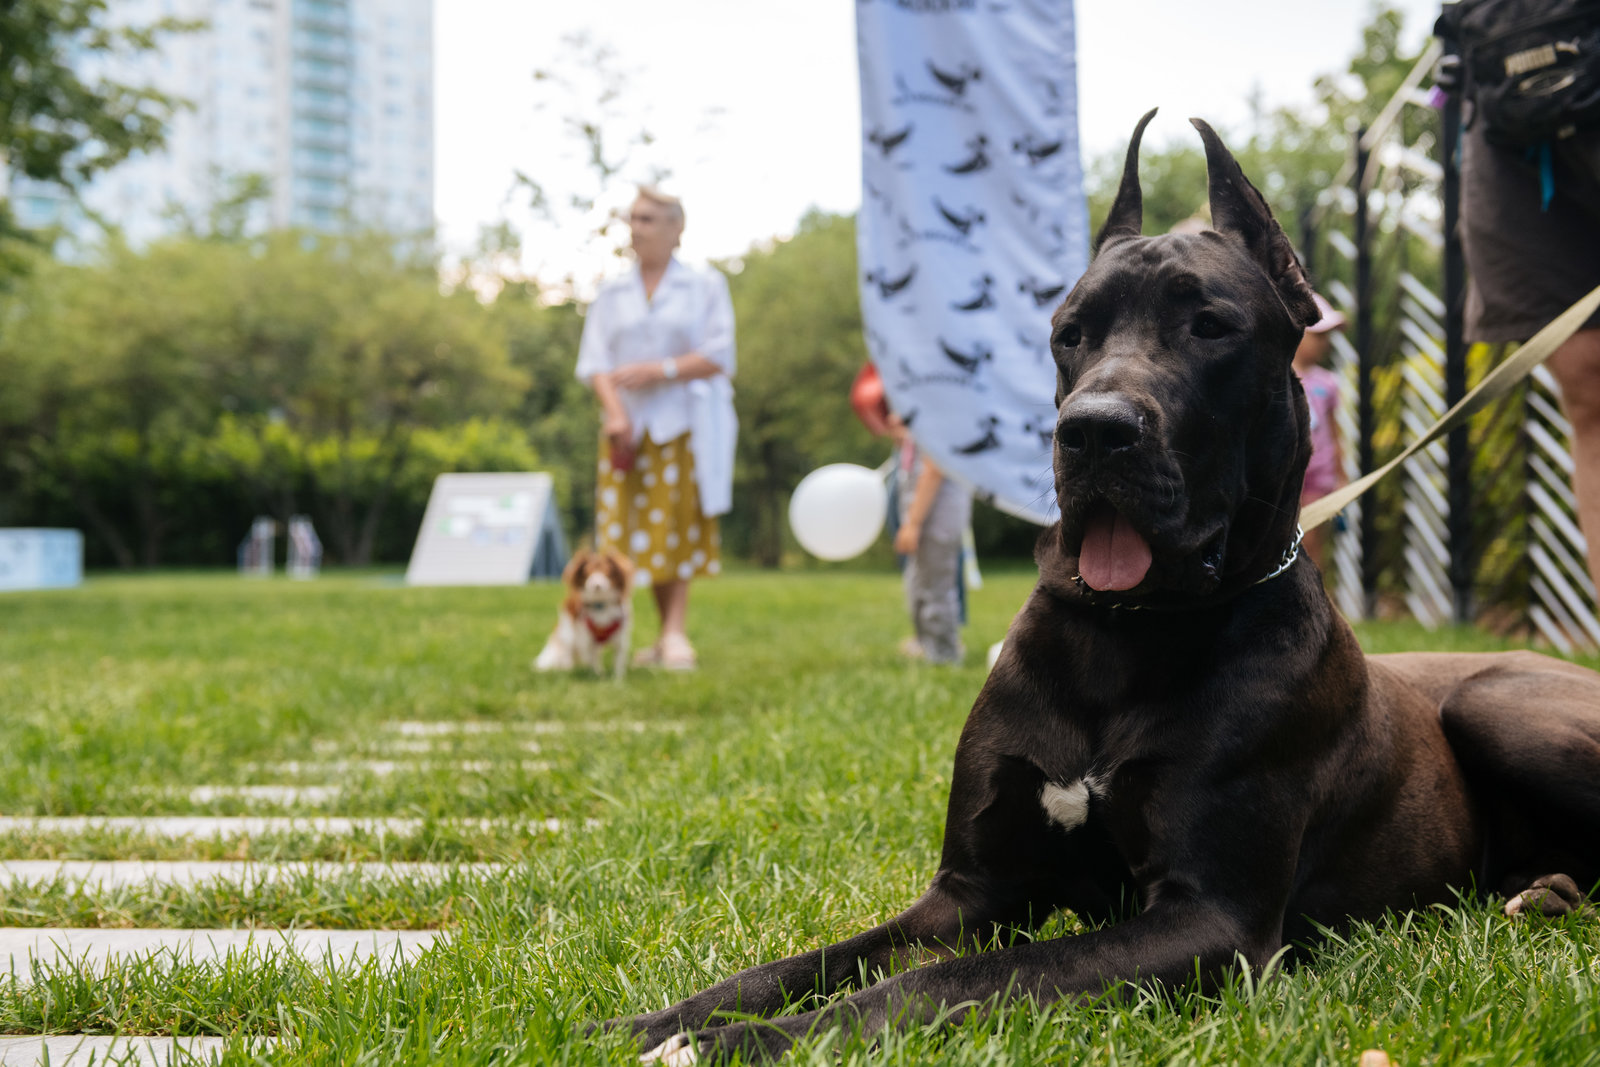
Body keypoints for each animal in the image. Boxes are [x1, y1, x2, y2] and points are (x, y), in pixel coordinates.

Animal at [601, 112, 1600, 1062]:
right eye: (1069, 333)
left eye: (1210, 326)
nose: (1094, 430)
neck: (1122, 632)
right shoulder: (969, 890)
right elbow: (811, 960)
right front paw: (660, 1019)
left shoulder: (1209, 918)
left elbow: (954, 978)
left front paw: (749, 1041)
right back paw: (1542, 890)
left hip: (1497, 705)